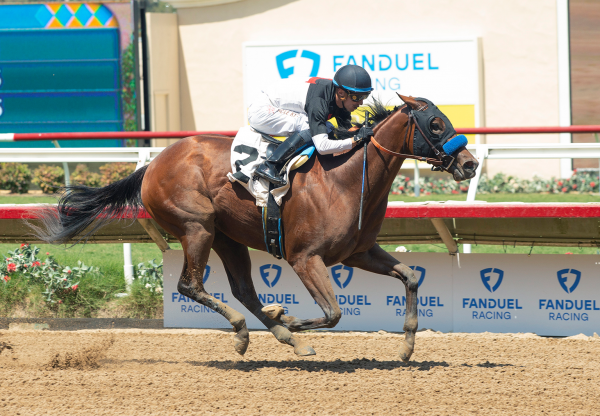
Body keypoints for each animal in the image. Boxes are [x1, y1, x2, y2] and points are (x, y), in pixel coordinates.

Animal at [31, 94, 478, 360]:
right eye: (435, 124)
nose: (470, 163)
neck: (347, 179)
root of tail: (153, 164)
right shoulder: (305, 258)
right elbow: (333, 312)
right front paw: (294, 319)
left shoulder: (358, 252)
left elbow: (411, 277)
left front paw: (406, 347)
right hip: (198, 227)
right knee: (191, 285)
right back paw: (254, 331)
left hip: (229, 238)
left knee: (243, 290)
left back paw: (280, 331)